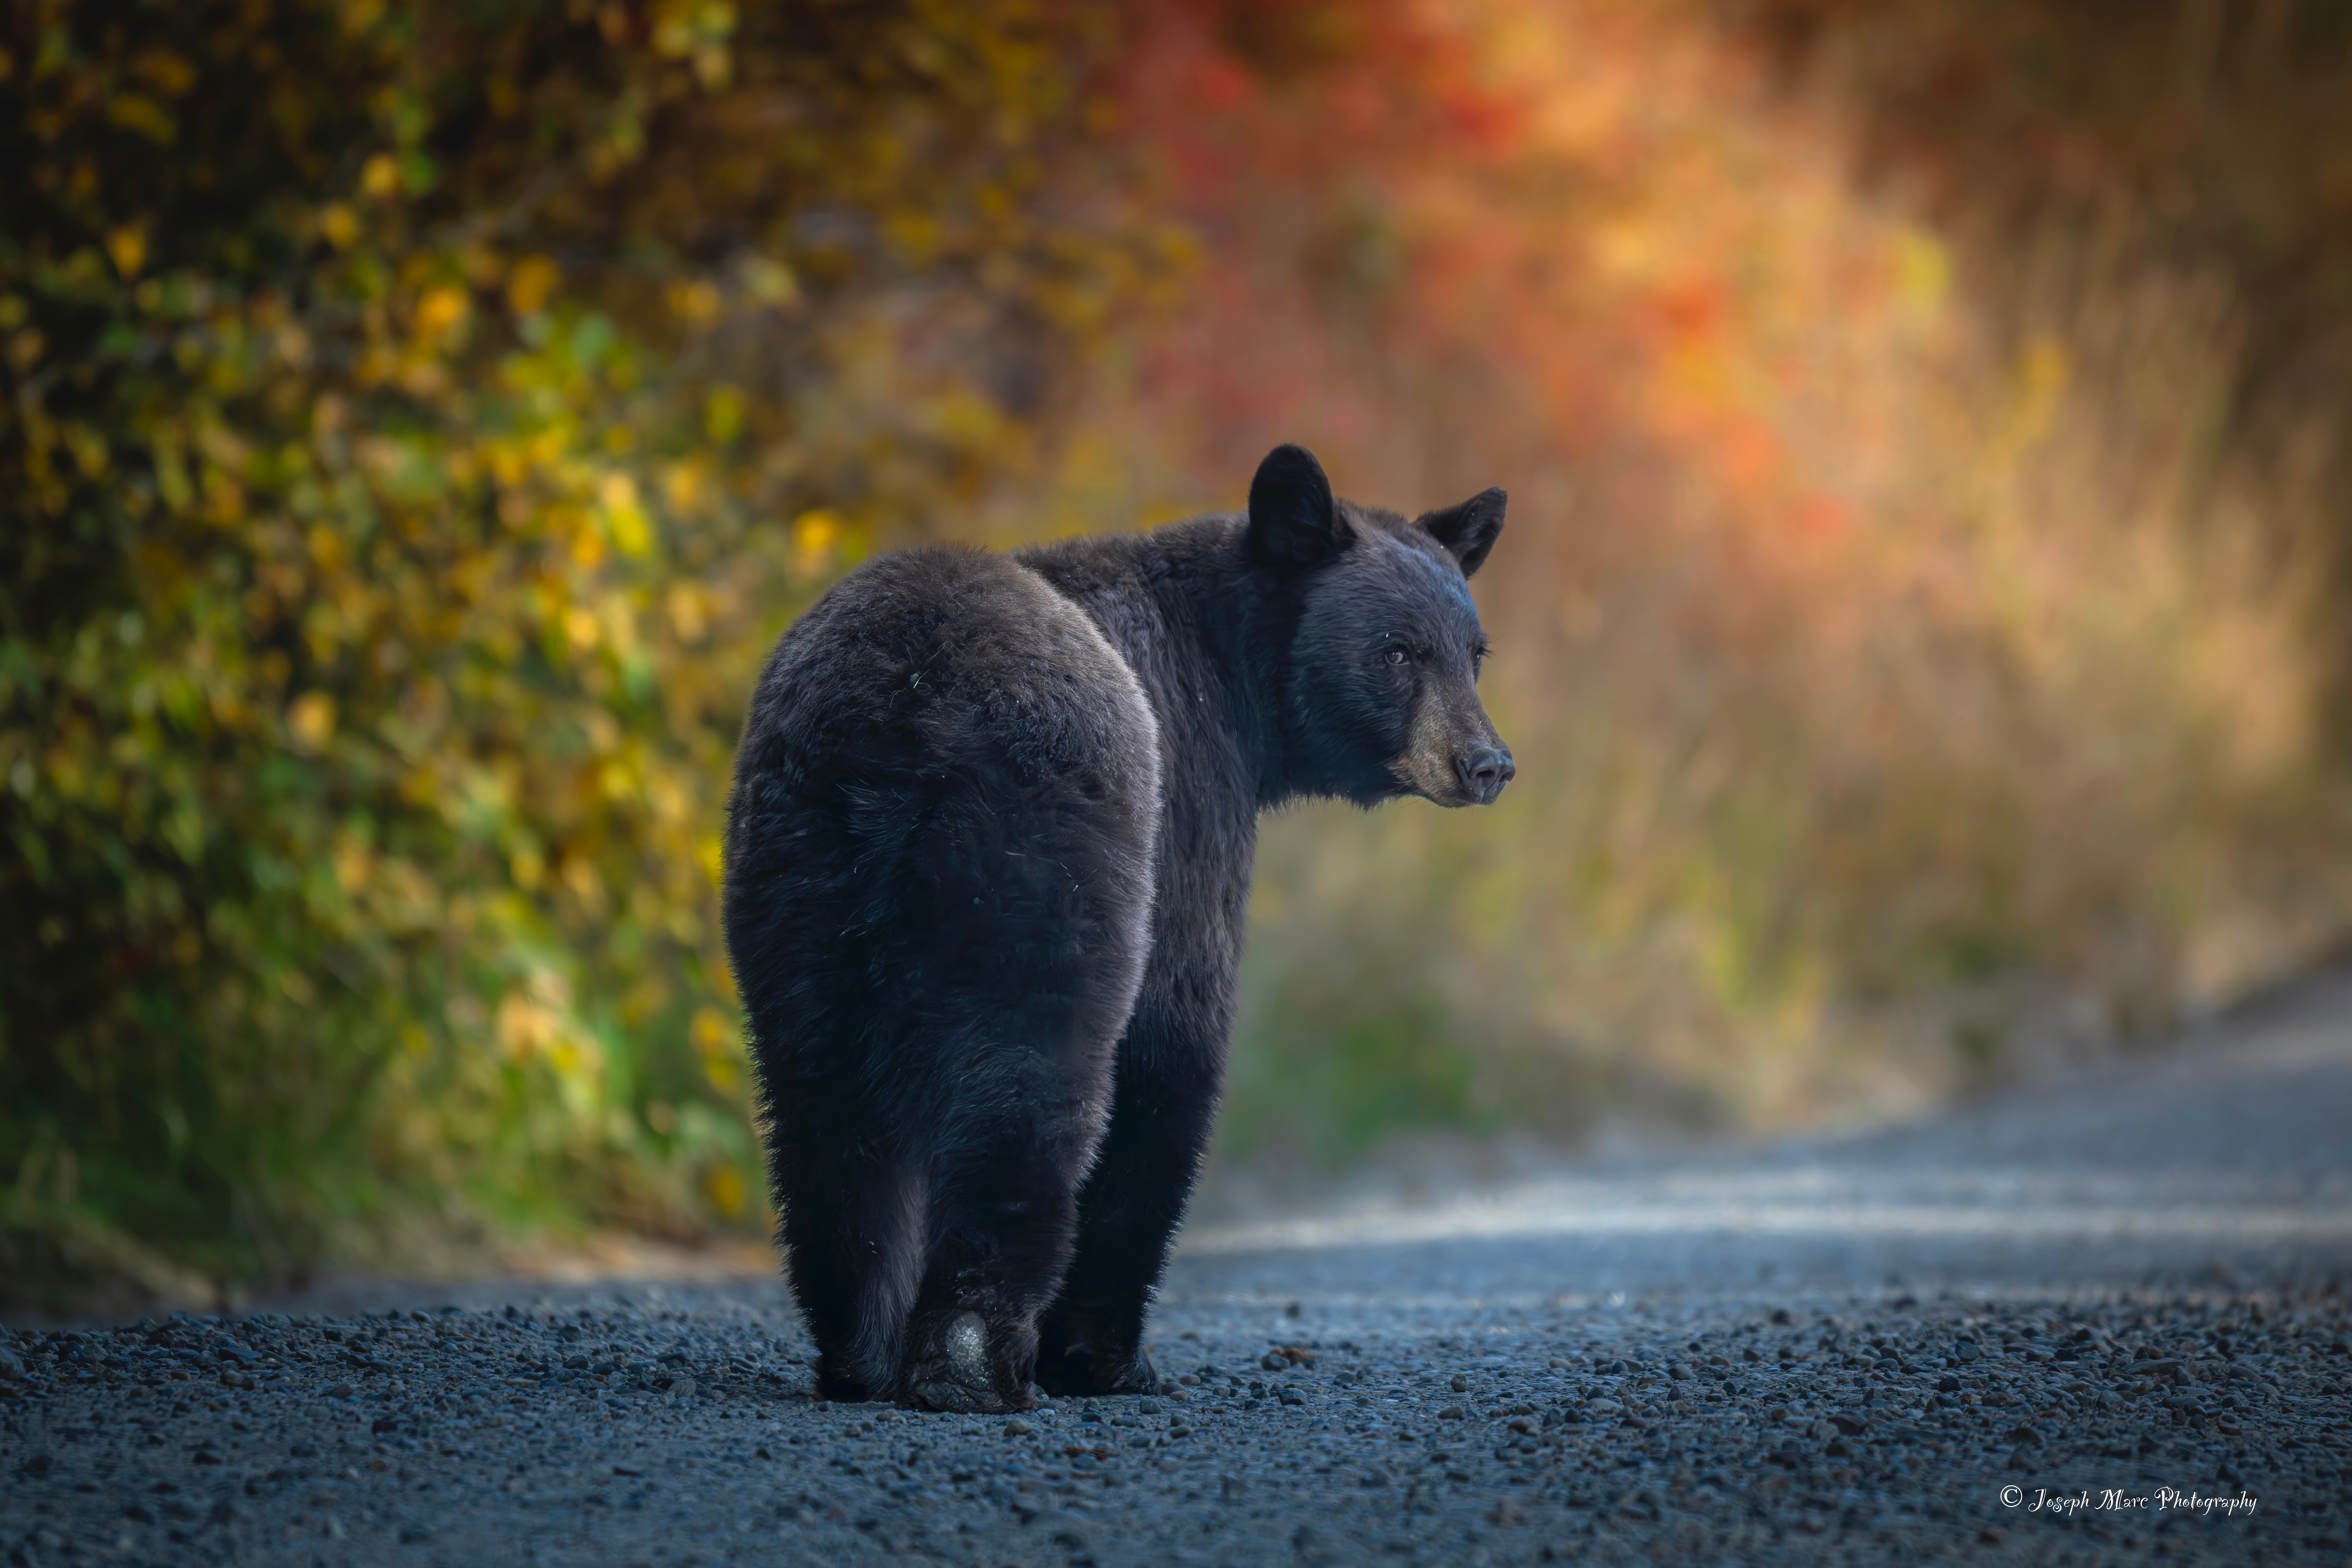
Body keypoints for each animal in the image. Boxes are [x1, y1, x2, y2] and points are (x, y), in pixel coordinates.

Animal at [722, 443, 1513, 1412]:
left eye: (1473, 653)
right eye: (1398, 651)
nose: (1486, 763)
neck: (1233, 687)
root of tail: (902, 710)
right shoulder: (1188, 807)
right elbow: (1172, 1044)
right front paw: (1107, 1356)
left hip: (797, 870)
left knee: (820, 1097)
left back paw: (858, 1351)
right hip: (1037, 847)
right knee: (1026, 1081)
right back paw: (972, 1359)